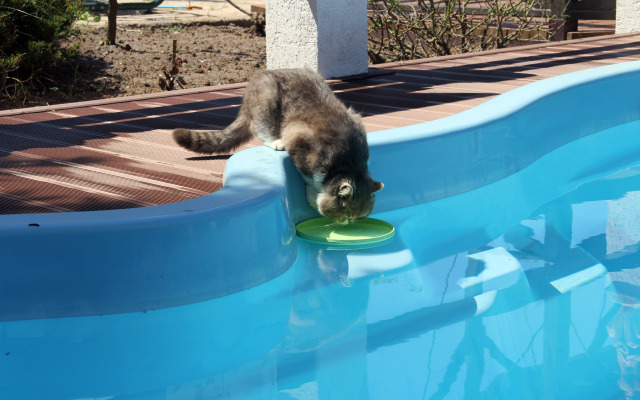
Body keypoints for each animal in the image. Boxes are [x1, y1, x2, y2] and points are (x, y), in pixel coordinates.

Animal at [172, 69, 382, 225]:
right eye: (347, 215)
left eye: (359, 217)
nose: (349, 223)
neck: (347, 164)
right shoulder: (300, 140)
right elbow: (309, 180)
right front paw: (313, 198)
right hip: (267, 98)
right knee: (261, 127)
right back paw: (275, 141)